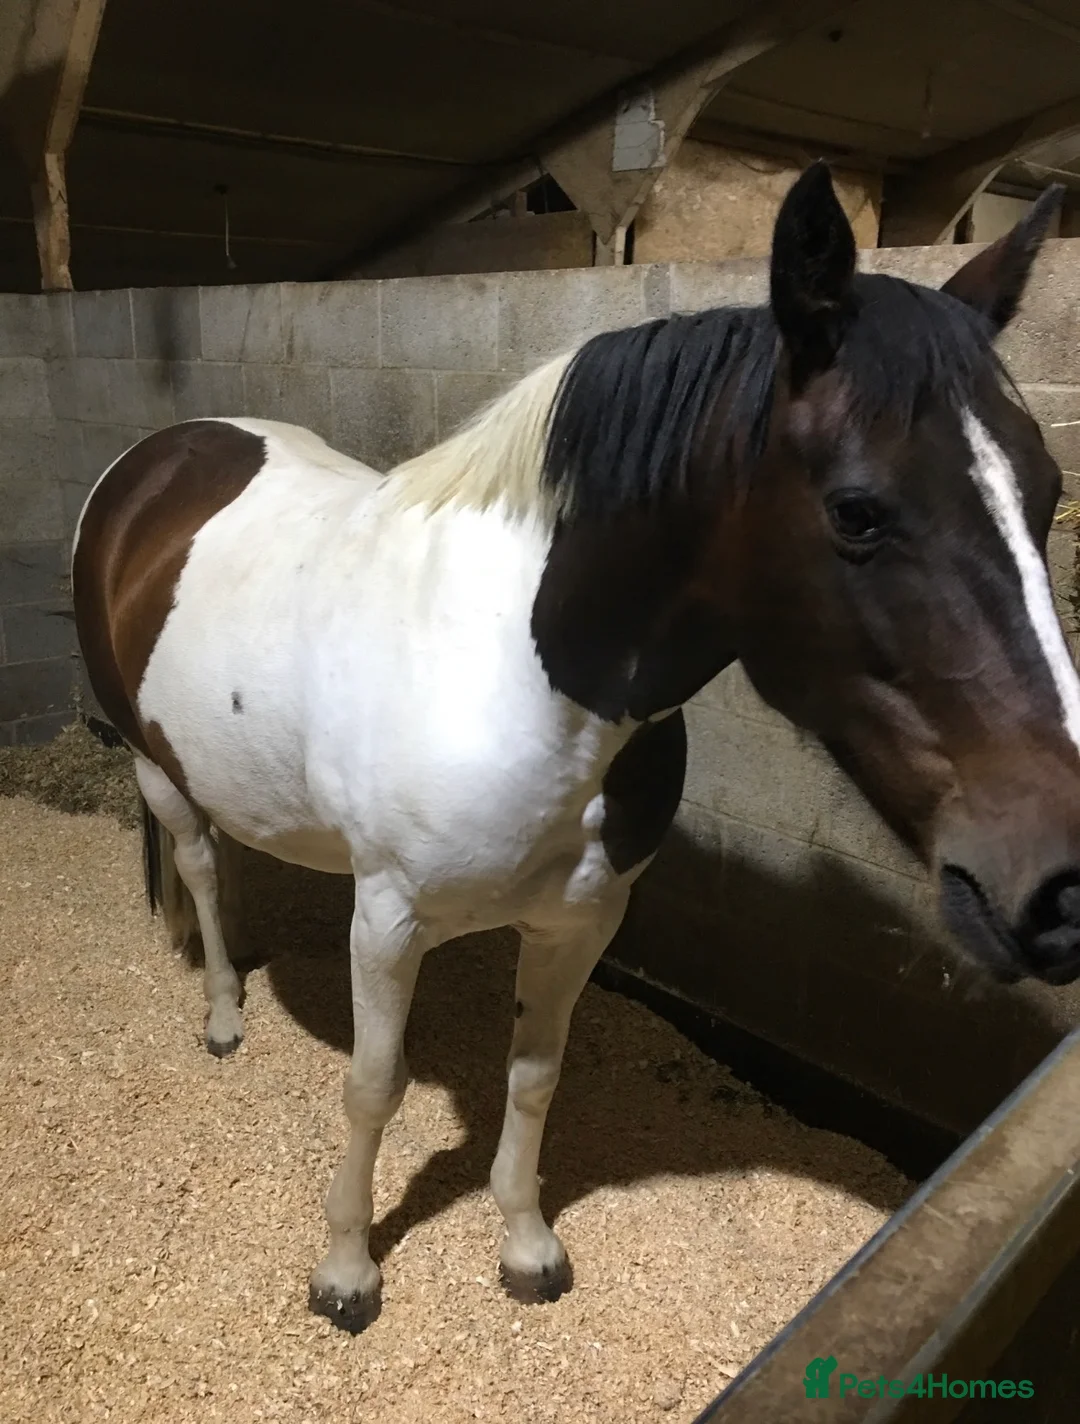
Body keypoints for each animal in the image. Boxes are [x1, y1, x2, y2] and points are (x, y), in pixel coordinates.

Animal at [72, 162, 1080, 1334]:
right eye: (858, 511)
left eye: (1049, 489)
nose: (1059, 886)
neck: (526, 675)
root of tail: (156, 458)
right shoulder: (390, 917)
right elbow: (374, 1085)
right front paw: (347, 1270)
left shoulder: (580, 919)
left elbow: (534, 1074)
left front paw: (524, 1244)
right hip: (155, 765)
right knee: (194, 858)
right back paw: (225, 1012)